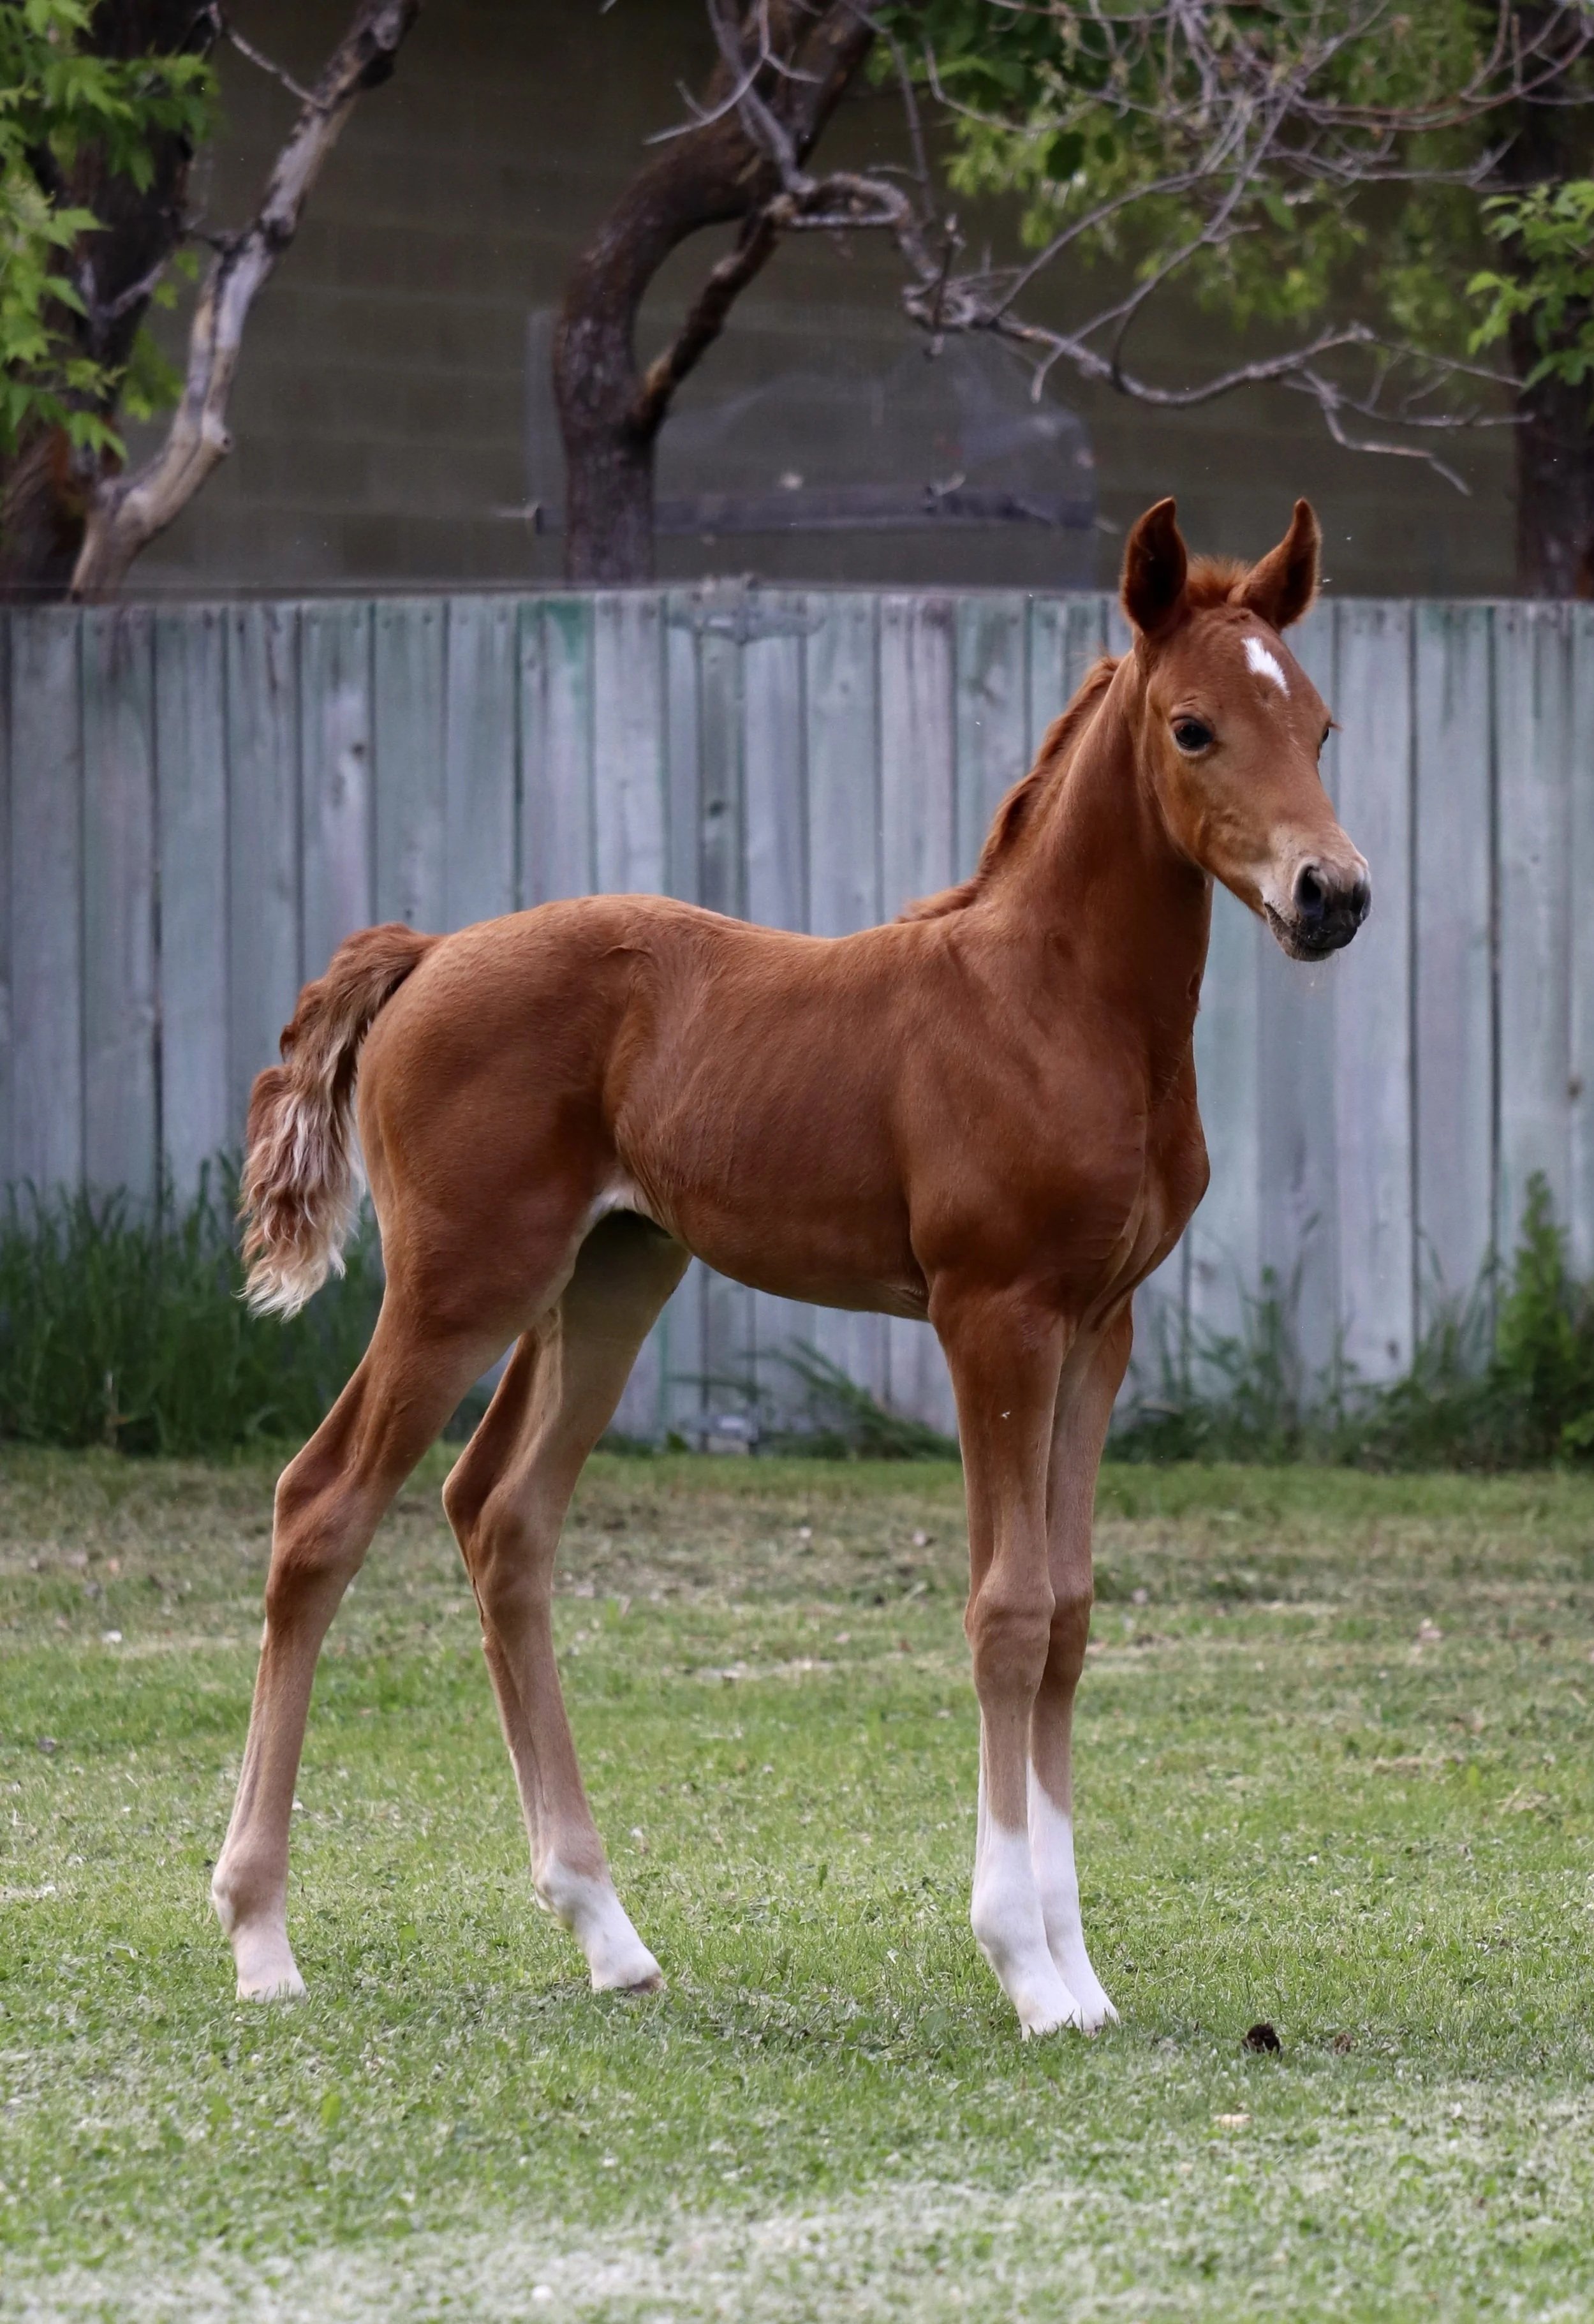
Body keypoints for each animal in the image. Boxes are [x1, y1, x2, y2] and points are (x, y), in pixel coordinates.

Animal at [215, 496, 1369, 2037]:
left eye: (1316, 723)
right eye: (1191, 728)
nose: (1329, 895)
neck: (1054, 1005)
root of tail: (428, 951)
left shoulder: (1098, 1327)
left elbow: (1067, 1615)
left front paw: (1080, 1971)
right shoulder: (991, 1316)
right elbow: (1005, 1610)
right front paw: (1021, 1961)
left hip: (607, 1278)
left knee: (499, 1514)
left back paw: (607, 1933)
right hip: (461, 1283)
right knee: (322, 1504)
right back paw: (261, 1936)